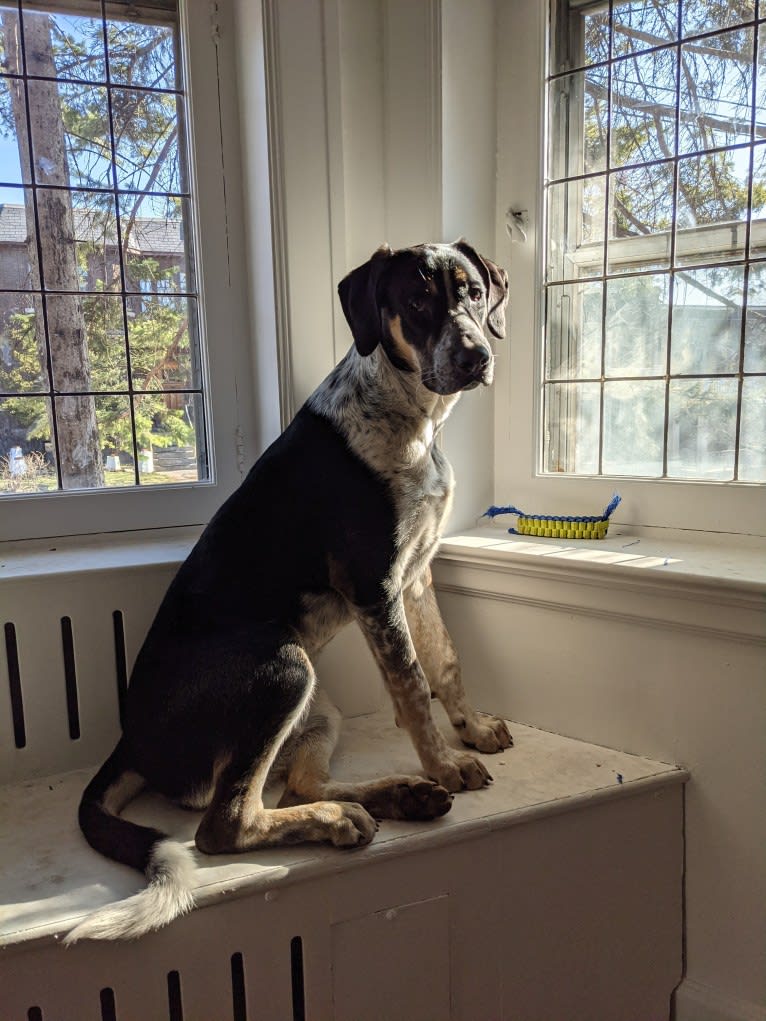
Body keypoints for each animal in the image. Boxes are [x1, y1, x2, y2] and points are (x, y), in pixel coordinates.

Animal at [64, 236, 510, 939]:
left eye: (472, 292)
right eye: (417, 302)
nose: (476, 357)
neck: (410, 420)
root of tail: (130, 740)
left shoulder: (417, 576)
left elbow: (444, 661)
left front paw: (472, 731)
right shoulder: (375, 588)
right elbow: (413, 688)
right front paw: (445, 765)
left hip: (315, 708)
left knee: (293, 786)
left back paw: (395, 797)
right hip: (286, 668)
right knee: (226, 824)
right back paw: (350, 815)